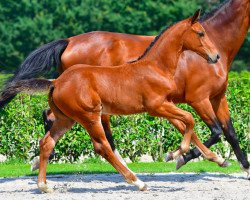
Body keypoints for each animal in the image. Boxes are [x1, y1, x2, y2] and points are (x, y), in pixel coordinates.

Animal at [0, 0, 250, 178]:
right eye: (200, 33)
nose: (214, 56)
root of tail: (69, 41)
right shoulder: (198, 99)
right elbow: (214, 131)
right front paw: (181, 157)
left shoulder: (217, 97)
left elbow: (229, 131)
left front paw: (243, 167)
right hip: (95, 104)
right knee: (93, 129)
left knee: (53, 117)